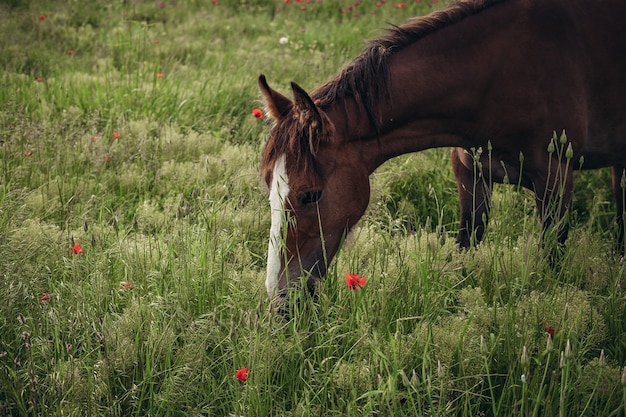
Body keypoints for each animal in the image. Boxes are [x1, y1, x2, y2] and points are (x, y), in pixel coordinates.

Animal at [256, 0, 624, 300]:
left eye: (311, 195)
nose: (279, 296)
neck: (500, 74)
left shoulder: (555, 179)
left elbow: (552, 259)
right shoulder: (470, 175)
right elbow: (467, 246)